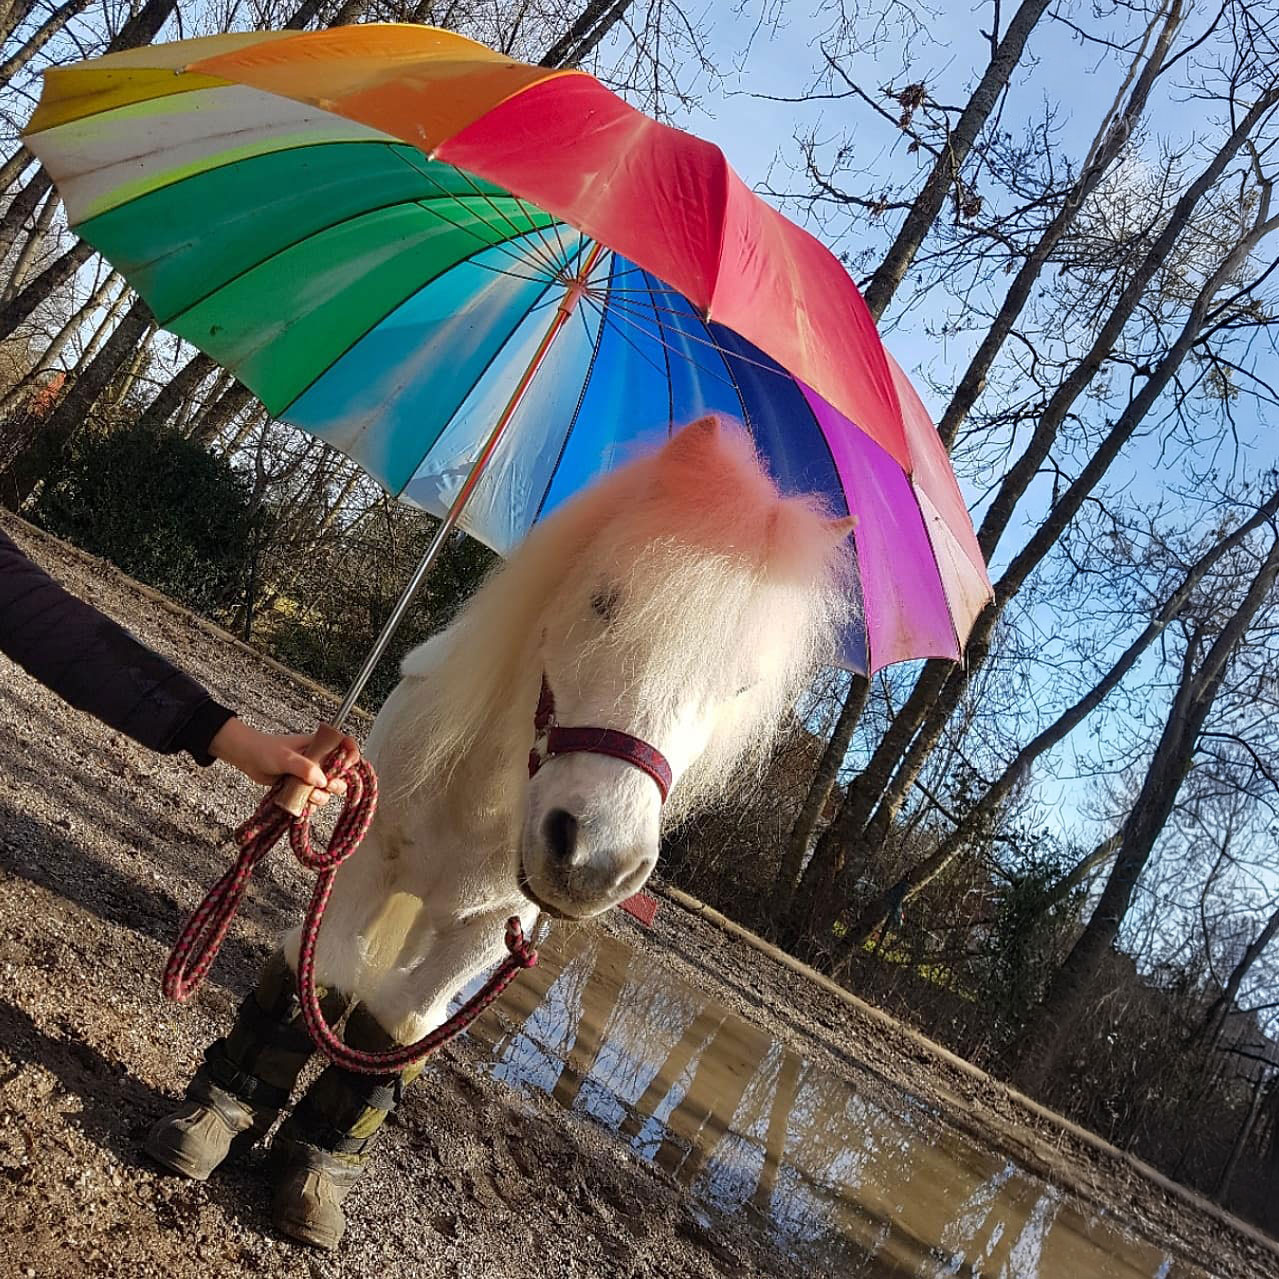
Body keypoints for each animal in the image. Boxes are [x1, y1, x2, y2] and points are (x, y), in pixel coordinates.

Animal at [146, 415, 856, 1249]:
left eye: (741, 686)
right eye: (603, 601)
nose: (595, 859)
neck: (484, 799)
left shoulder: (492, 927)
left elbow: (397, 1023)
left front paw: (315, 1175)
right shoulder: (364, 865)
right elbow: (320, 975)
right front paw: (214, 1119)